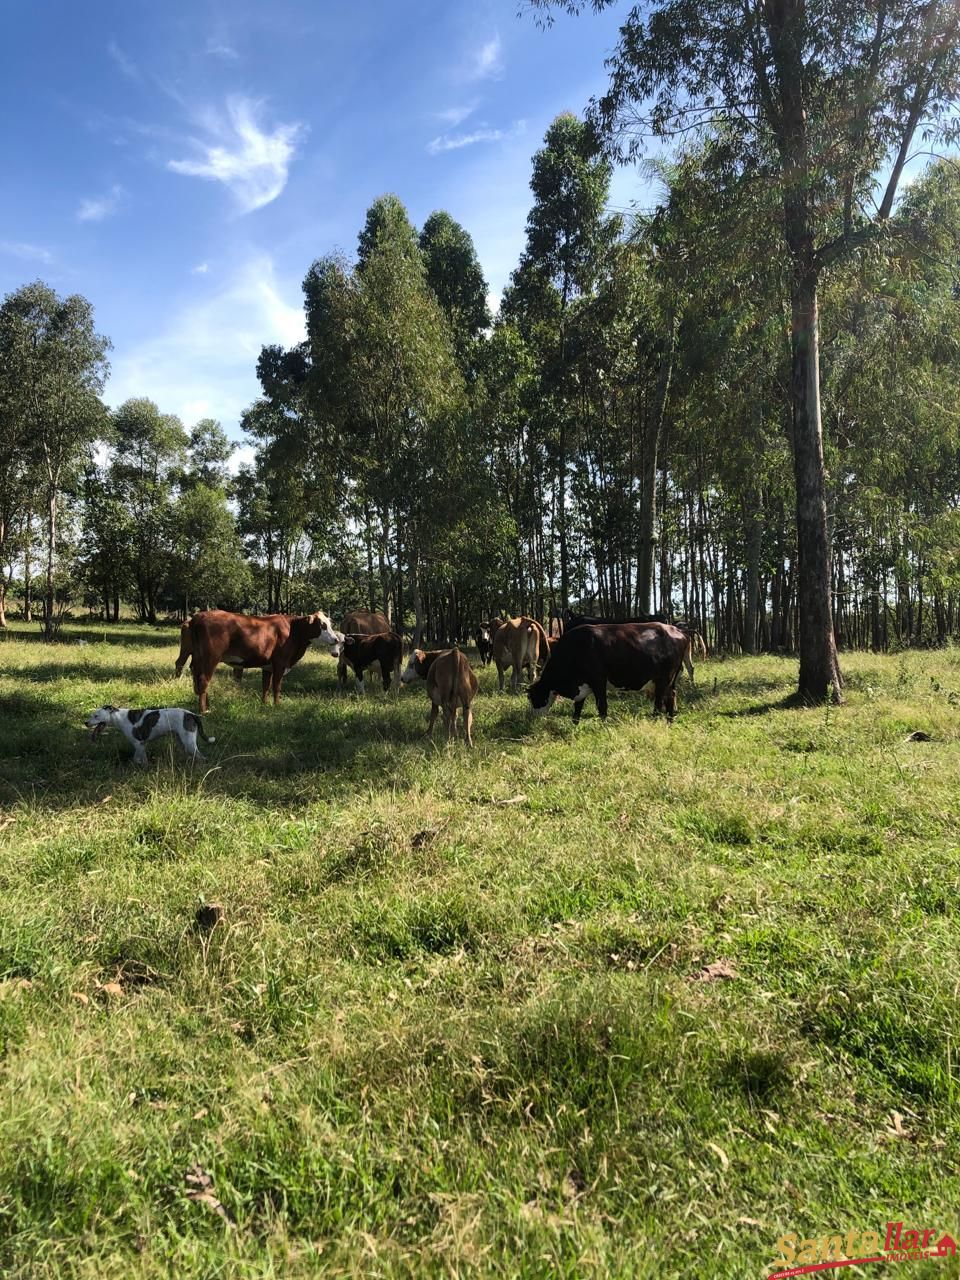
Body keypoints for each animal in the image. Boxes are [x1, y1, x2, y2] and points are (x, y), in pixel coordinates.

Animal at [85, 706, 216, 762]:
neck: (120, 717)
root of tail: (192, 714)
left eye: (96, 716)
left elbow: (138, 759)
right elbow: (140, 758)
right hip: (181, 740)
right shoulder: (142, 745)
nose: (85, 723)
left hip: (189, 742)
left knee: (200, 757)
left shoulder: (138, 744)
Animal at [527, 624, 691, 727]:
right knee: (671, 697)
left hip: (663, 679)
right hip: (670, 681)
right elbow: (578, 707)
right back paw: (669, 722)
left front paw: (603, 727)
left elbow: (602, 706)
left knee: (659, 702)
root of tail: (676, 630)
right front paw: (574, 725)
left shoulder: (598, 681)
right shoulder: (583, 686)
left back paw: (656, 721)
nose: (531, 719)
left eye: (532, 698)